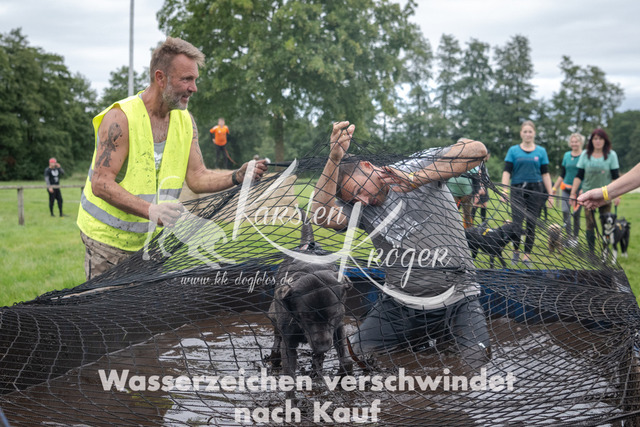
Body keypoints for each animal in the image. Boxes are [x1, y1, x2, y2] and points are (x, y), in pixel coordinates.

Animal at [266, 212, 352, 396]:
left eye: (332, 316)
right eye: (306, 318)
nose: (323, 347)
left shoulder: (338, 326)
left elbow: (347, 360)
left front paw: (342, 377)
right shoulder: (289, 341)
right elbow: (289, 375)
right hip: (273, 312)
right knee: (276, 336)